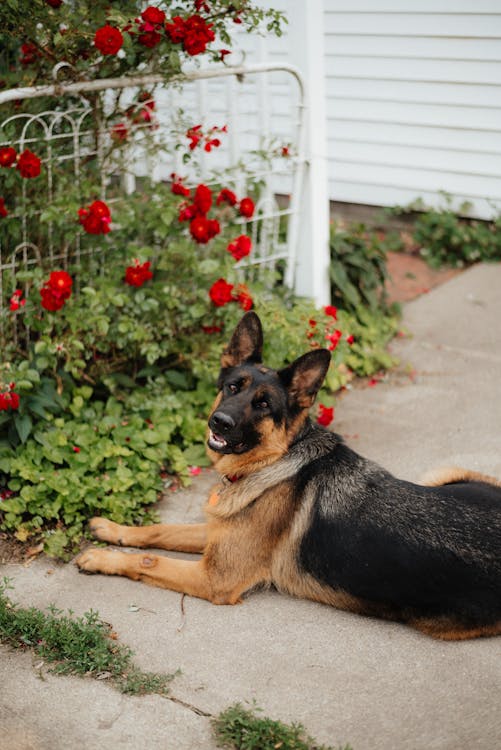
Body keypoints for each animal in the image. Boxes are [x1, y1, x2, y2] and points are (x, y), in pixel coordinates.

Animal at [75, 312, 500, 640]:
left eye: (264, 405)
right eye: (233, 387)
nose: (219, 422)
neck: (272, 463)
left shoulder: (216, 578)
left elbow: (149, 560)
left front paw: (100, 557)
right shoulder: (217, 534)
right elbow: (159, 530)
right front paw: (112, 529)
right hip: (442, 473)